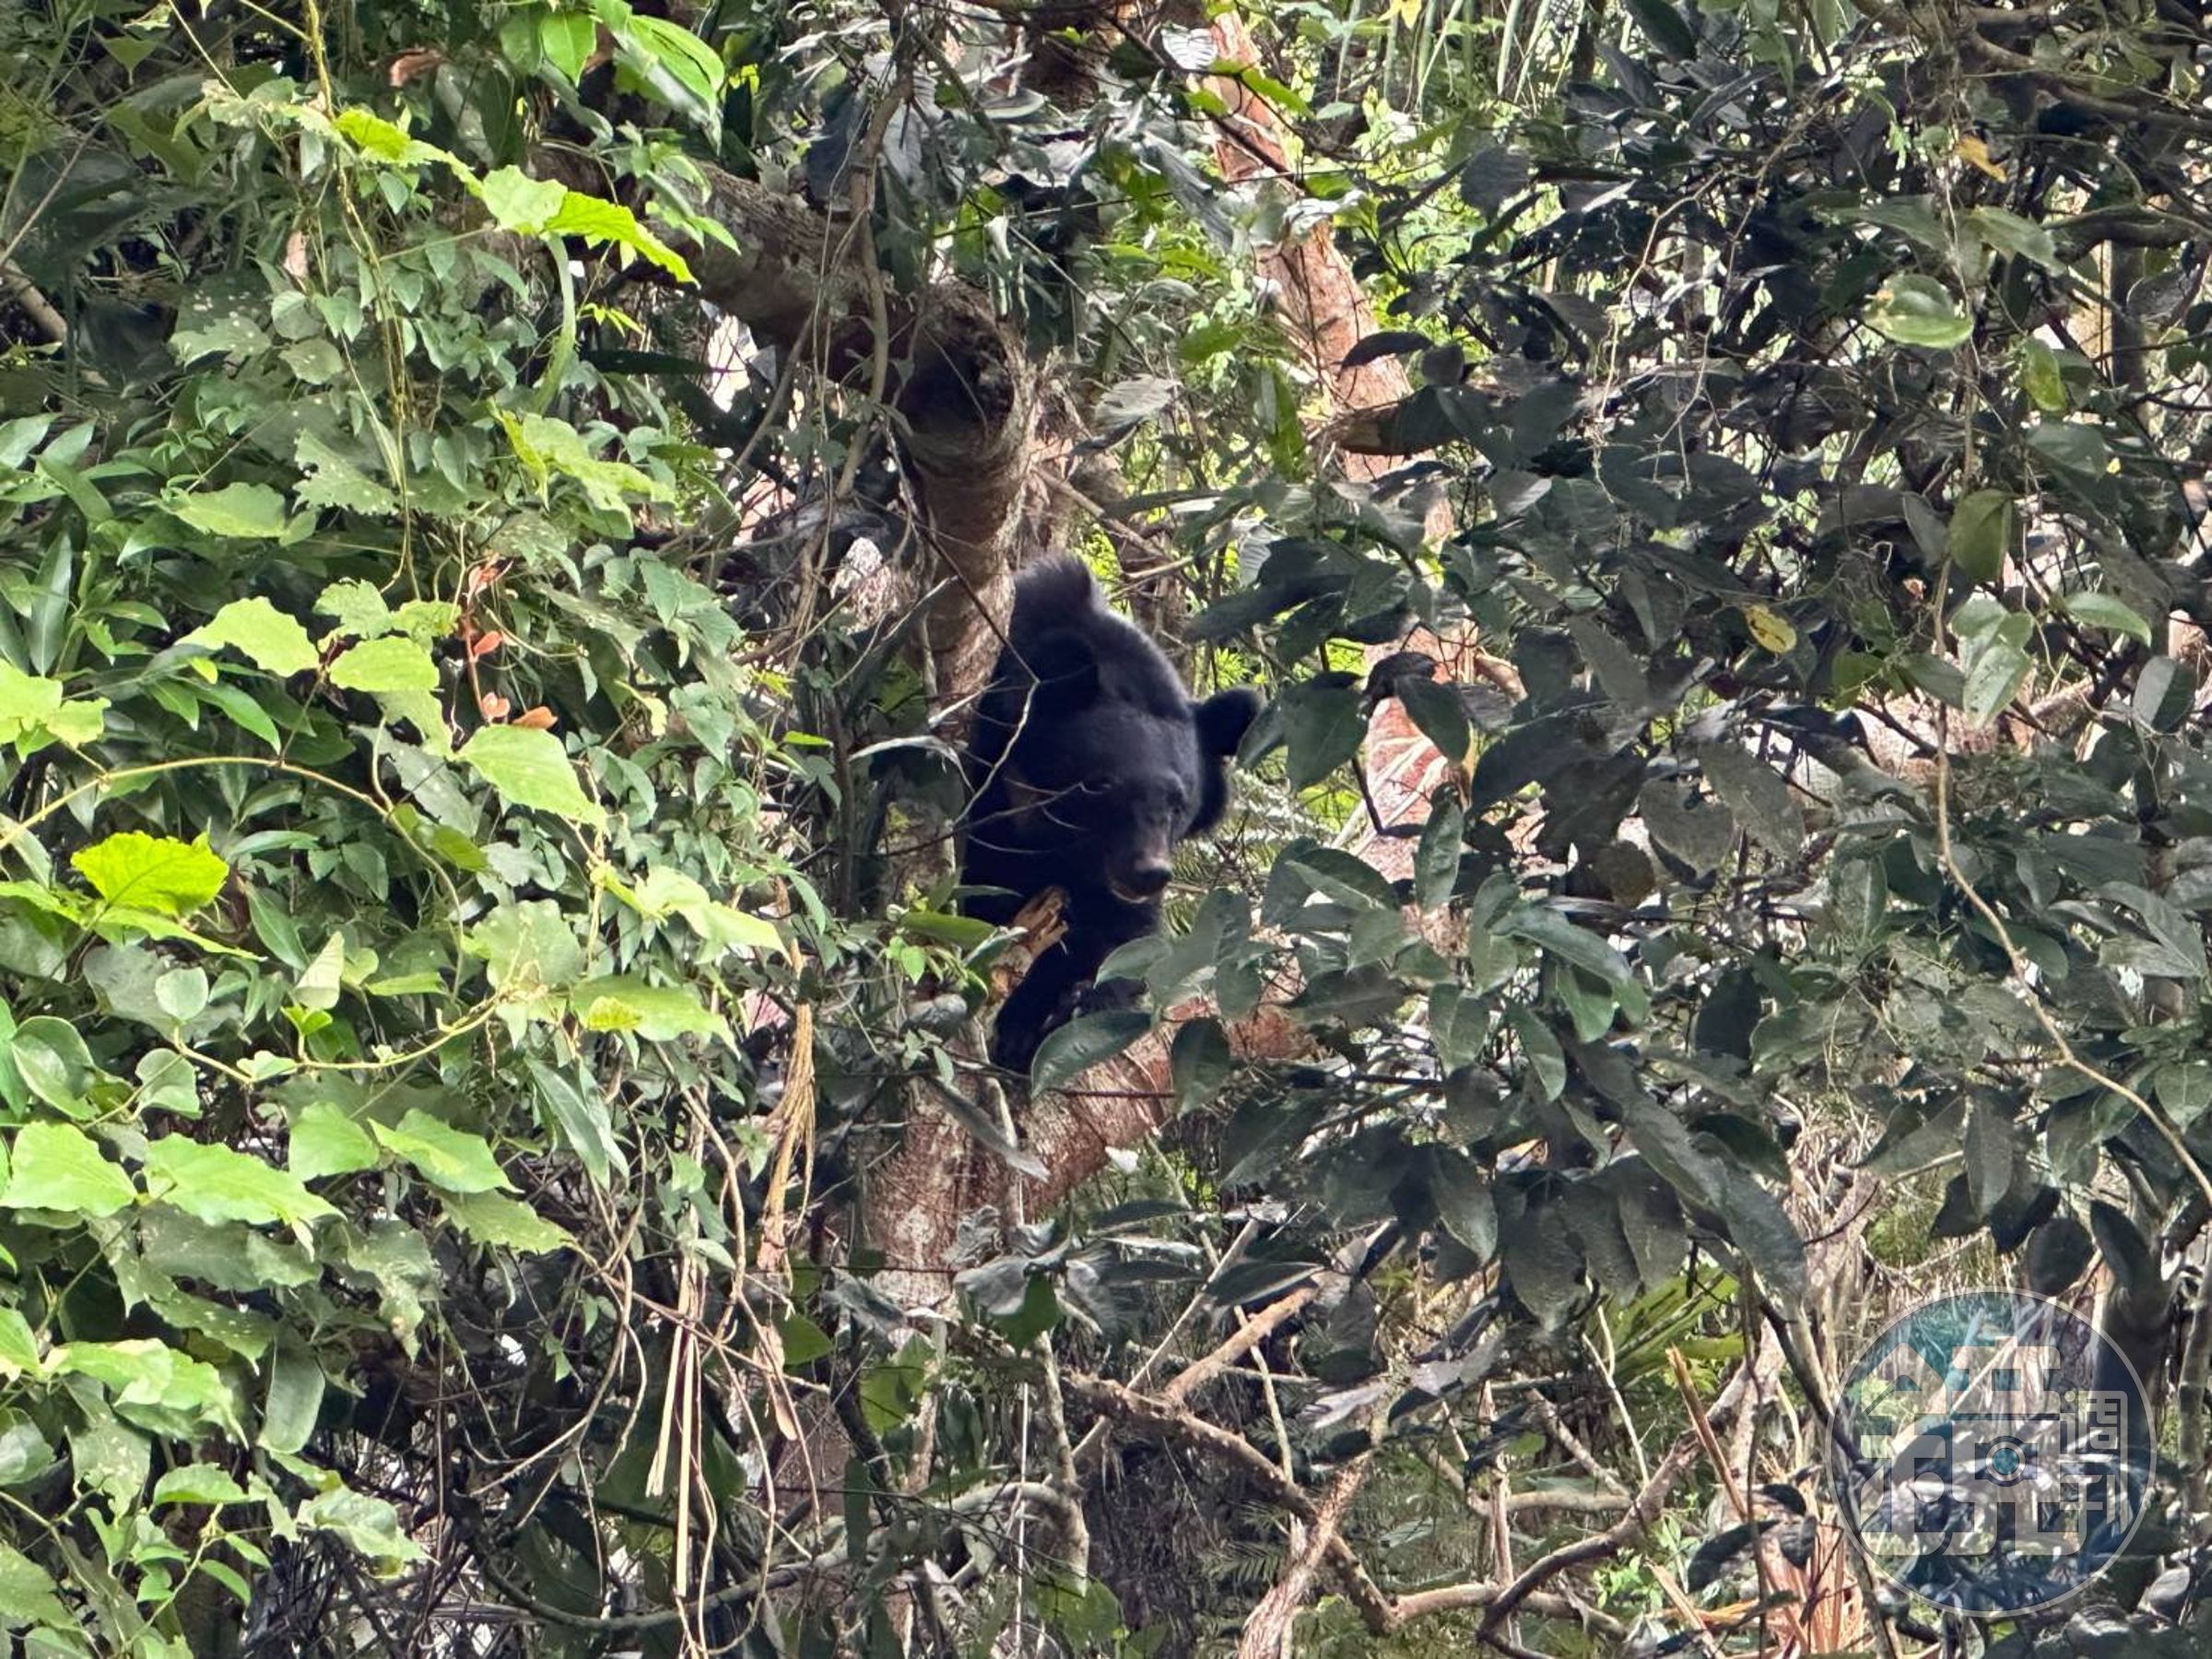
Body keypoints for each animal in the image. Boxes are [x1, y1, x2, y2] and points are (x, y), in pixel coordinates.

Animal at [961, 556, 1261, 1074]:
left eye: (1179, 803)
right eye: (1099, 784)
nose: (1148, 872)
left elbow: (1127, 939)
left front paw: (1063, 1006)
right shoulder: (990, 784)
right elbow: (982, 888)